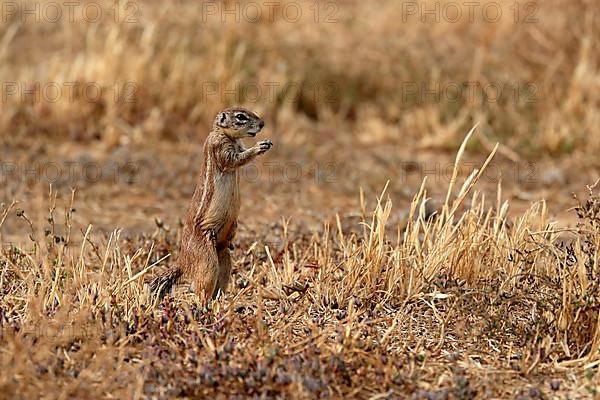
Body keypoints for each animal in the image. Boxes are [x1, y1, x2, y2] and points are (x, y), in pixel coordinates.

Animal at [150, 108, 272, 302]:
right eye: (241, 116)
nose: (262, 124)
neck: (224, 134)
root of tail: (183, 261)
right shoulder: (220, 148)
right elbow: (236, 159)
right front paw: (260, 146)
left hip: (223, 255)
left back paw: (220, 300)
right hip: (207, 259)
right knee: (201, 284)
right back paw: (204, 304)